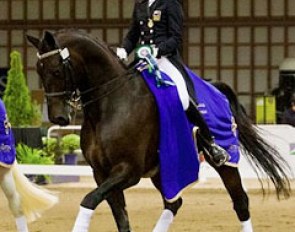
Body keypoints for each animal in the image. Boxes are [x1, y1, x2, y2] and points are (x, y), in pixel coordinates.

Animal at [27, 29, 292, 231]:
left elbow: (89, 200)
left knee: (240, 202)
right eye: (38, 70)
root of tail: (214, 86)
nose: (59, 117)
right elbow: (119, 217)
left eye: (56, 70)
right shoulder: (101, 174)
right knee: (174, 203)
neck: (110, 104)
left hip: (226, 161)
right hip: (163, 170)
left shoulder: (128, 171)